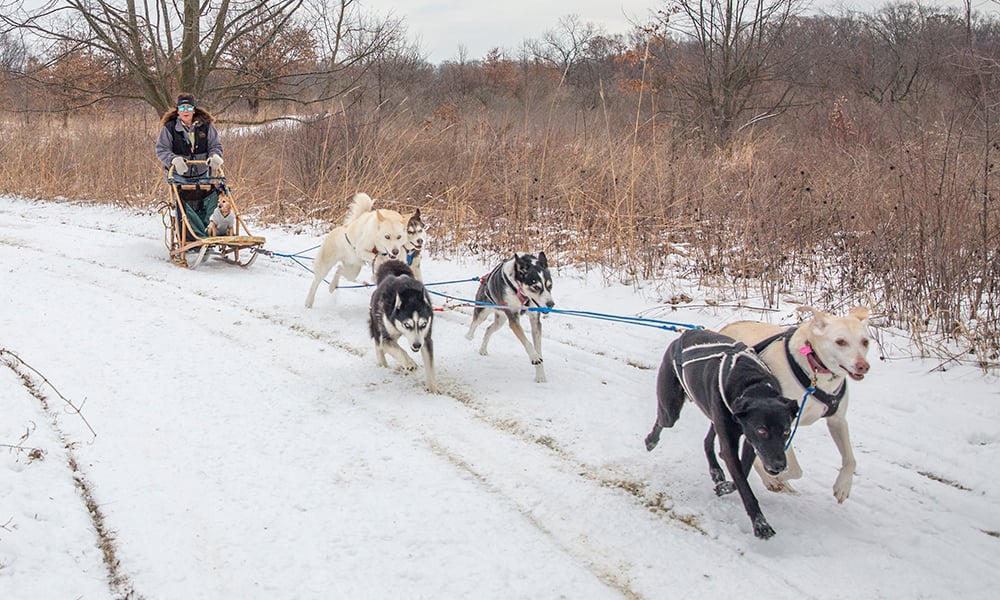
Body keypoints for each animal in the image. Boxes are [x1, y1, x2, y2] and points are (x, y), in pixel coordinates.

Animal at [368, 258, 438, 394]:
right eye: (407, 325)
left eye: (423, 324)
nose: (417, 345)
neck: (409, 295)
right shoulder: (387, 339)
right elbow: (399, 351)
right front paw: (409, 363)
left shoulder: (426, 339)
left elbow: (430, 365)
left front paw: (432, 387)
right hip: (379, 328)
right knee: (379, 346)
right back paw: (383, 364)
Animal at [644, 328, 800, 540]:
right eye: (762, 430)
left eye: (786, 431)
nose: (779, 465)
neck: (753, 385)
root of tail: (685, 333)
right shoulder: (735, 441)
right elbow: (744, 485)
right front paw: (761, 524)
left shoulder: (750, 442)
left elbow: (743, 471)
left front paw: (724, 486)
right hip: (672, 409)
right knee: (663, 420)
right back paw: (651, 440)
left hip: (715, 415)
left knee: (708, 439)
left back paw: (716, 470)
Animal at [720, 308, 876, 504]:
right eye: (841, 341)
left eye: (865, 341)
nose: (863, 366)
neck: (815, 371)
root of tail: (726, 328)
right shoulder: (783, 425)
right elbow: (794, 469)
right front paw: (775, 477)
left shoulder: (837, 420)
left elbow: (850, 459)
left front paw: (843, 486)